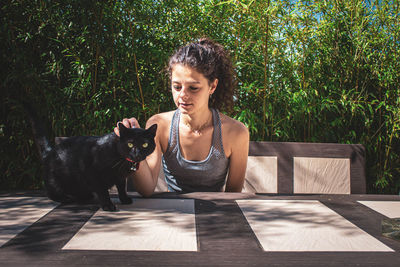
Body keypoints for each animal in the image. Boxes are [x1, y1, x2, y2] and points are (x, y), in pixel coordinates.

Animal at [25, 103, 156, 213]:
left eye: (145, 144)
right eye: (130, 144)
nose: (137, 153)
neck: (120, 159)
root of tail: (50, 151)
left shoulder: (120, 177)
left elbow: (122, 188)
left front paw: (124, 199)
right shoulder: (93, 173)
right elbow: (103, 191)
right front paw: (108, 205)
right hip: (56, 181)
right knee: (50, 192)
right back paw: (67, 198)